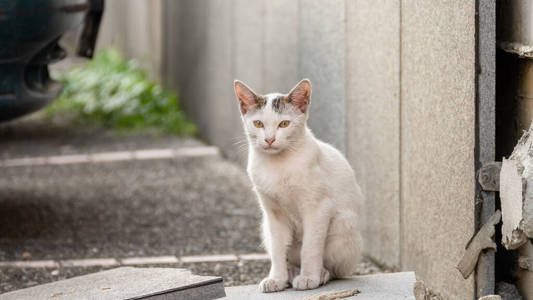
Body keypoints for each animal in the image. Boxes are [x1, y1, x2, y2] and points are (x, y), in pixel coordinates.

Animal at [234, 78, 364, 292]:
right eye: (258, 123)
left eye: (284, 124)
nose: (269, 139)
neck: (278, 165)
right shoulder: (273, 214)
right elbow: (278, 249)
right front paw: (276, 279)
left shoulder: (318, 208)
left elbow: (310, 247)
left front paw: (309, 277)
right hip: (265, 226)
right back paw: (291, 271)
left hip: (344, 224)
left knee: (336, 269)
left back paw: (320, 273)